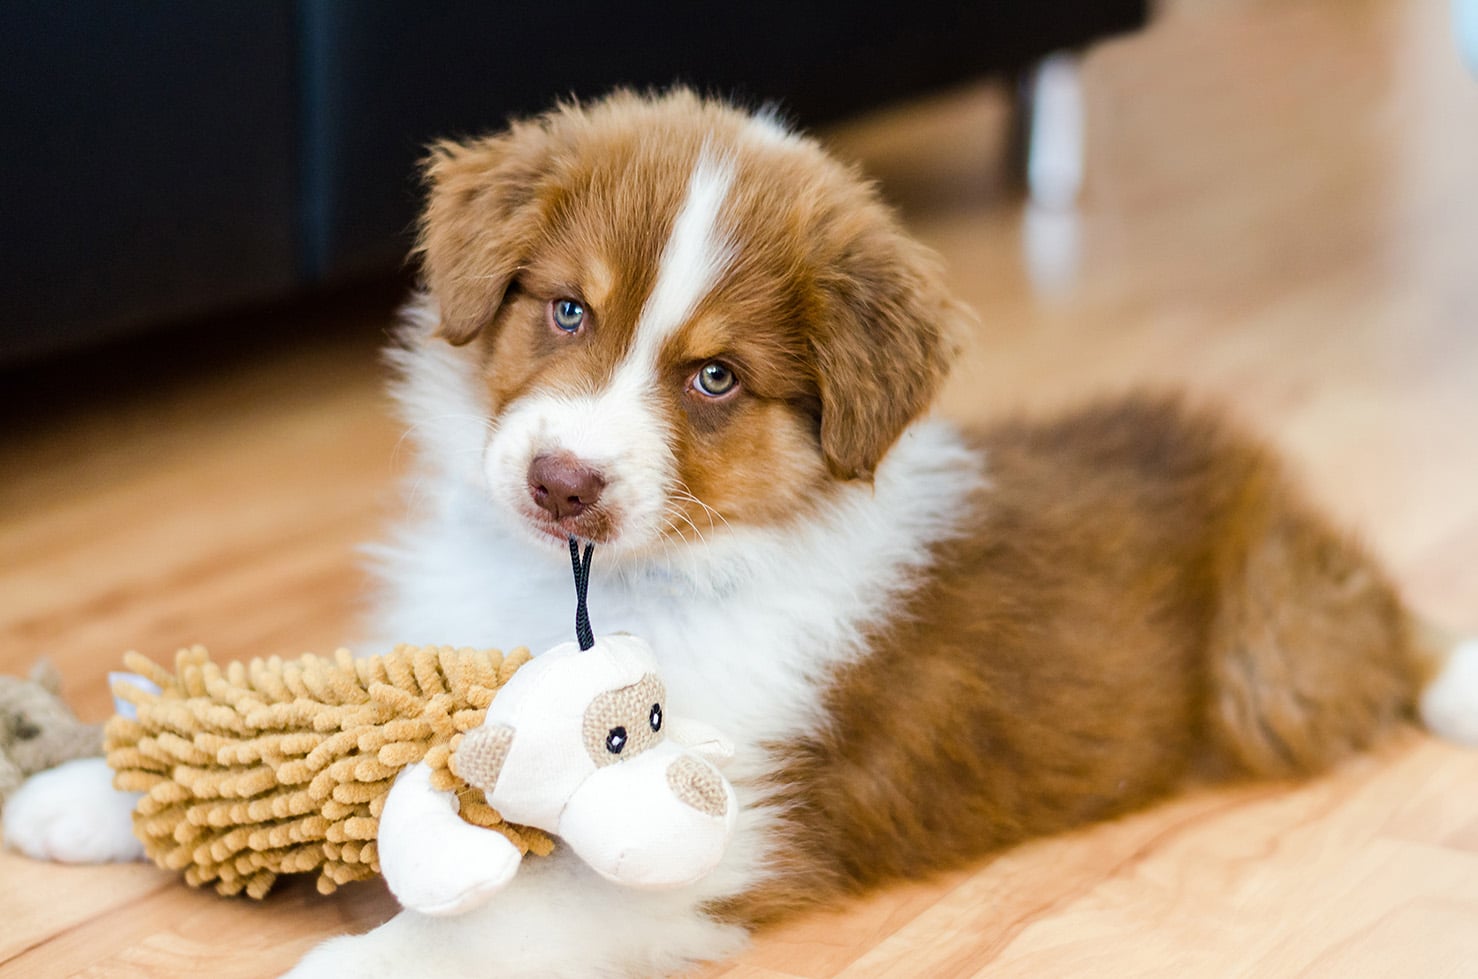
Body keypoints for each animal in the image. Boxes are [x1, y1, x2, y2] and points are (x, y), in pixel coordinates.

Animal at [11, 92, 1478, 979]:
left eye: (715, 377)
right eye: (564, 309)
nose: (560, 482)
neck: (593, 584)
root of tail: (1258, 482)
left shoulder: (708, 837)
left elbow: (525, 907)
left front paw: (355, 959)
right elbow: (283, 735)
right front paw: (89, 792)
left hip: (1276, 661)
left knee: (1384, 644)